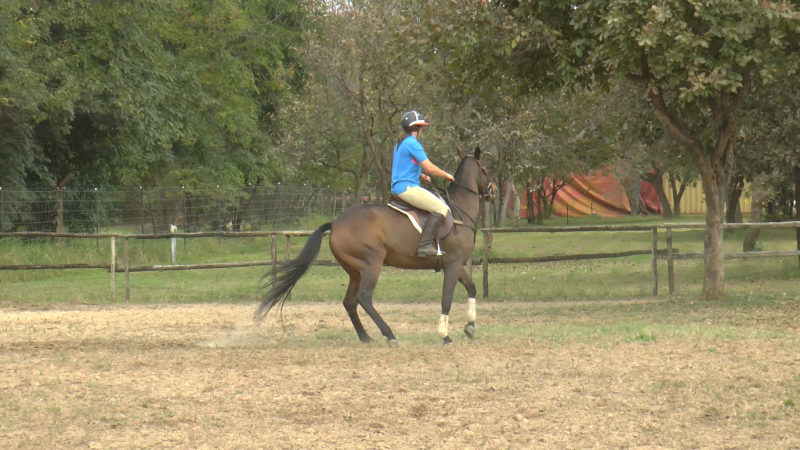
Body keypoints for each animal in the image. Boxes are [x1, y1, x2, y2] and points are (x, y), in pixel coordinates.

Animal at [256, 147, 494, 344]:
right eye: (485, 168)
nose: (491, 192)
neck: (459, 211)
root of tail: (335, 222)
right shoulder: (452, 264)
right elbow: (446, 299)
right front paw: (445, 336)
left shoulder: (456, 264)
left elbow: (472, 287)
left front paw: (470, 327)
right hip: (372, 263)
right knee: (364, 298)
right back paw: (389, 335)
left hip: (355, 270)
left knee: (350, 302)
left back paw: (365, 337)